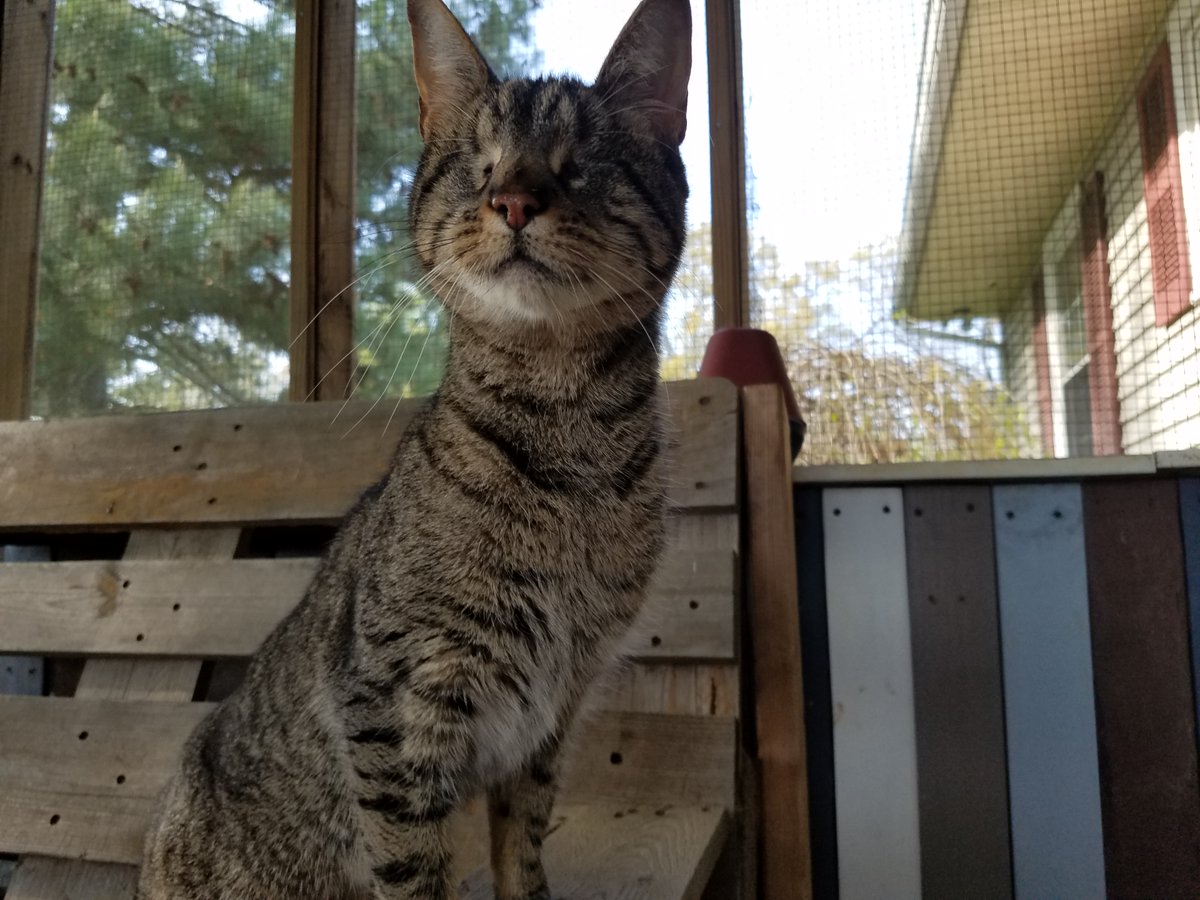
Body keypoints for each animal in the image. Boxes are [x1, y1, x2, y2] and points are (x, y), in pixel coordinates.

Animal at [136, 0, 691, 897]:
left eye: (577, 164)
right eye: (481, 164)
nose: (513, 201)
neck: (570, 434)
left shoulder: (554, 713)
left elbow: (522, 848)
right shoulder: (396, 704)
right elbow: (412, 867)